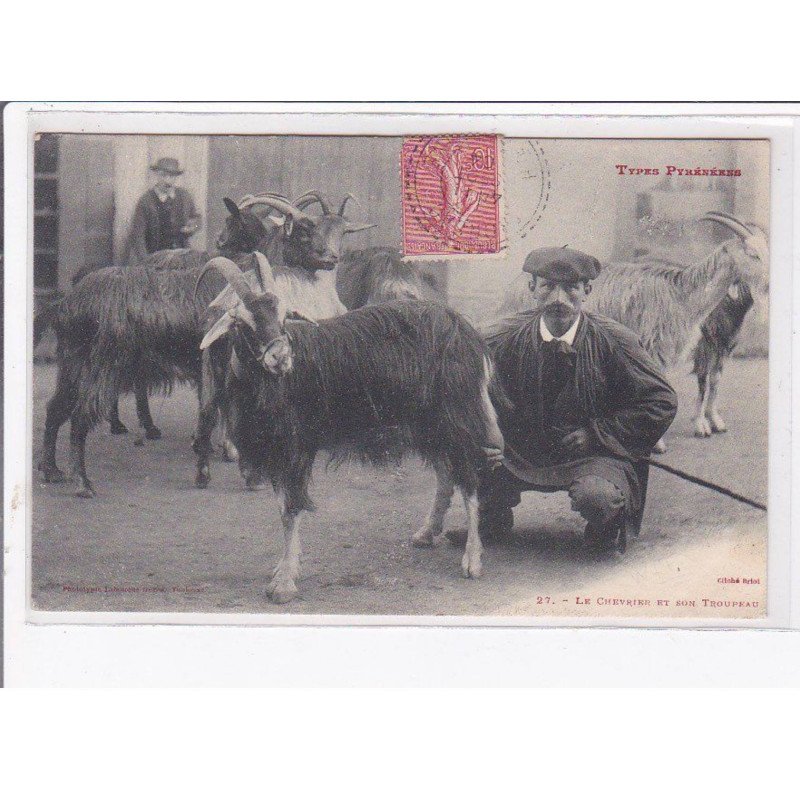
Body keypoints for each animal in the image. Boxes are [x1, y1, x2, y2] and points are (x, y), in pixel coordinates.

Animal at [197, 256, 504, 600]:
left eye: (282, 315)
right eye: (242, 322)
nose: (281, 357)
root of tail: (466, 331)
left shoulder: (296, 448)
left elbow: (291, 509)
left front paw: (284, 583)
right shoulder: (277, 453)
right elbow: (281, 506)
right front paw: (283, 569)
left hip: (456, 419)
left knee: (469, 479)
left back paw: (472, 560)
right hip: (428, 425)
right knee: (446, 475)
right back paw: (426, 534)